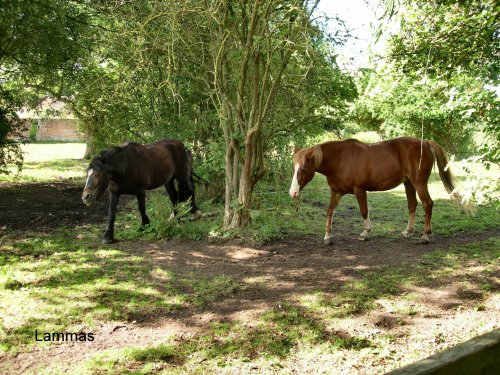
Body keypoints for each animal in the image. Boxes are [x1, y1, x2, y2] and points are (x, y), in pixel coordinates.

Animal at [292, 137, 462, 245]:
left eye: (304, 169)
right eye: (294, 167)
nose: (293, 193)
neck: (340, 160)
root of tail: (425, 143)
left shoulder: (359, 190)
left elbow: (364, 211)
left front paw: (365, 233)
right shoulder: (336, 192)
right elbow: (329, 211)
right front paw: (327, 236)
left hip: (419, 183)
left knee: (427, 204)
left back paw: (425, 235)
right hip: (408, 183)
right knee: (412, 204)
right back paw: (407, 231)